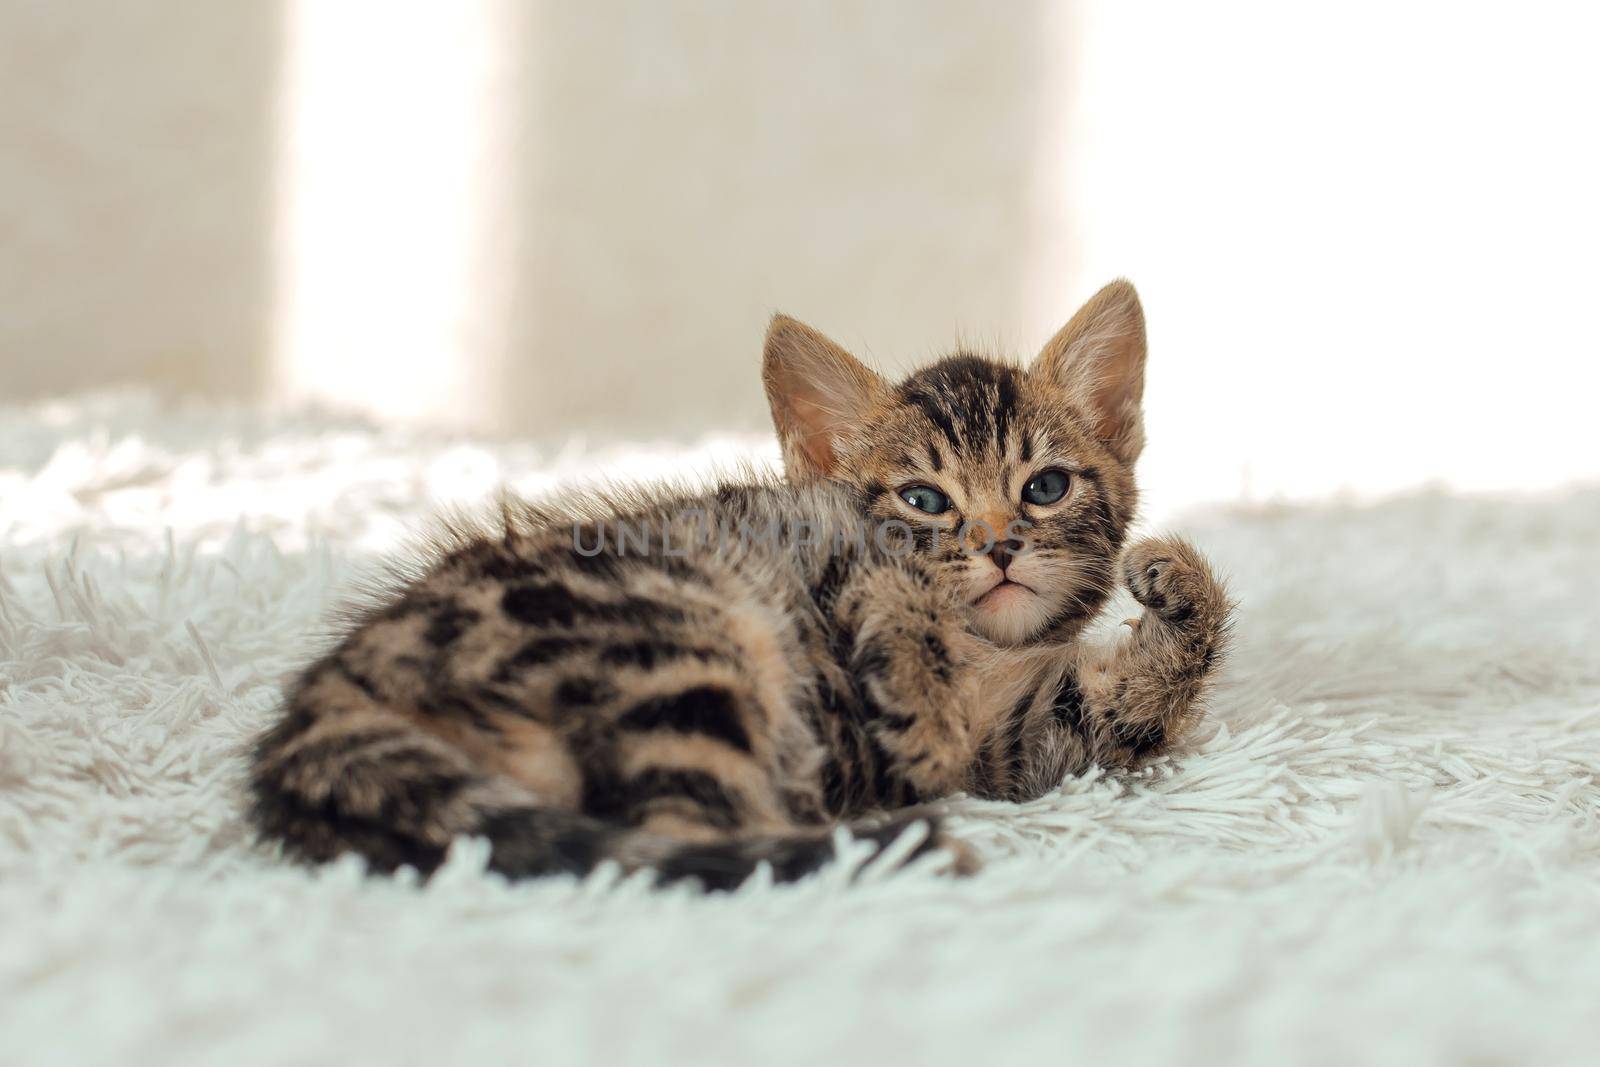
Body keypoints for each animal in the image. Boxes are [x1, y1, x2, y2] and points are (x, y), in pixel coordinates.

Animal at [249, 279, 1228, 889]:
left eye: (1046, 486)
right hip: (676, 642)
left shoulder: (1020, 739)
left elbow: (1117, 714)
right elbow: (888, 584)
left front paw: (1180, 582)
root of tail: (326, 695)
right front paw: (917, 701)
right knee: (676, 844)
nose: (999, 546)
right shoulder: (812, 536)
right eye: (924, 499)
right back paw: (866, 849)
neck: (981, 649)